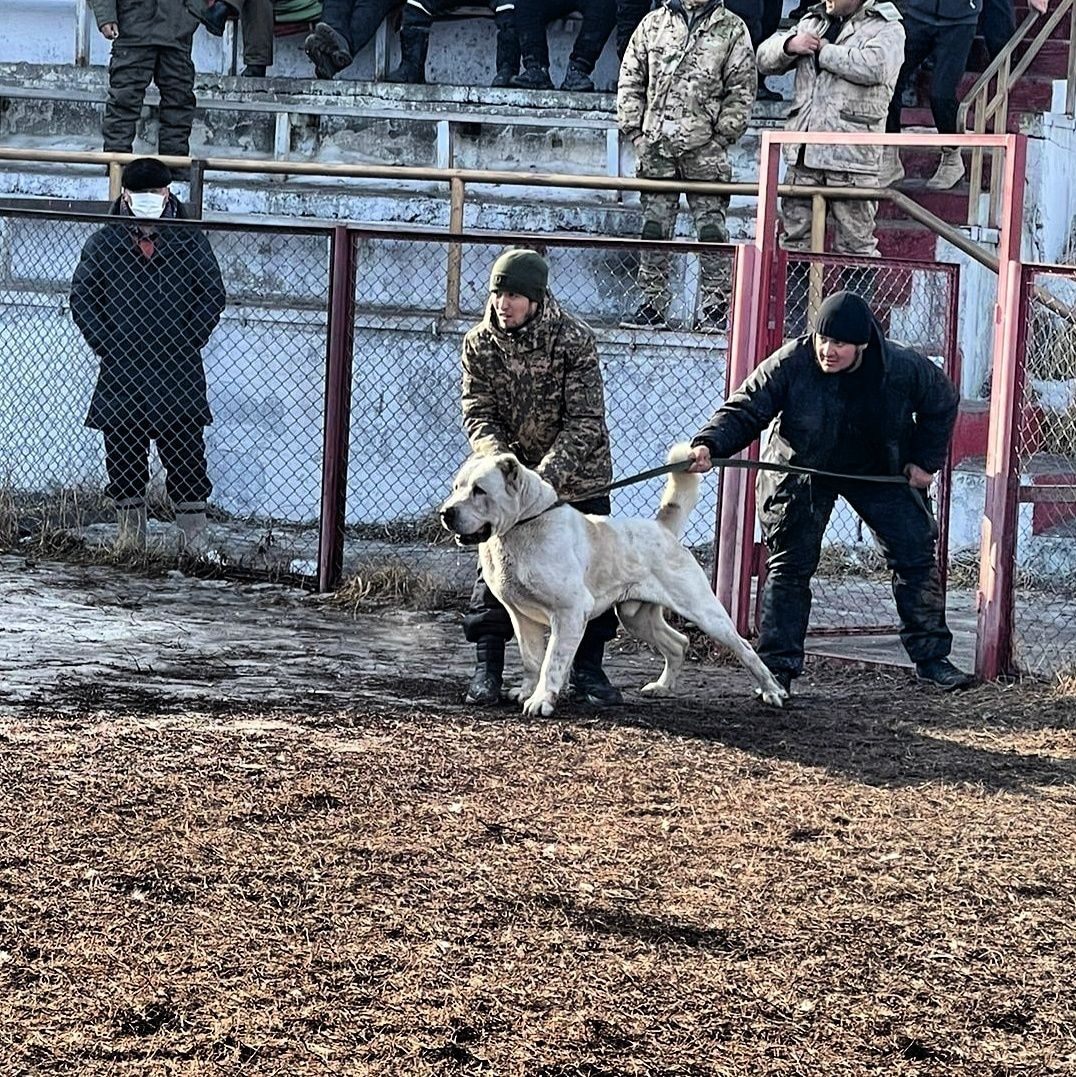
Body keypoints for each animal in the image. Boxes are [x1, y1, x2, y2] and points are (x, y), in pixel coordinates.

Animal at [439, 443, 792, 715]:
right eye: (456, 488)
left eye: (479, 490)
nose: (445, 513)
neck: (522, 525)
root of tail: (662, 527)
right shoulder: (521, 616)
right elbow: (531, 659)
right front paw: (527, 690)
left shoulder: (569, 611)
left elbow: (552, 660)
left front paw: (541, 700)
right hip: (637, 617)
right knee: (678, 643)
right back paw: (662, 687)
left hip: (705, 612)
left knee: (744, 647)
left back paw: (772, 691)